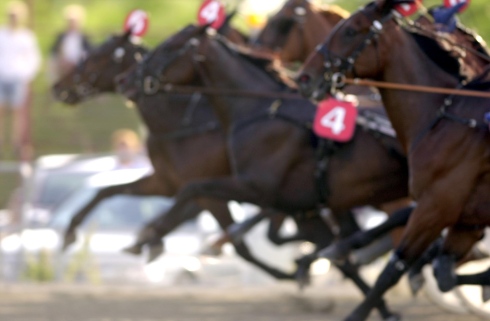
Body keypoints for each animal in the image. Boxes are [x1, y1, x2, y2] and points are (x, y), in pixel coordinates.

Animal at [296, 1, 490, 318]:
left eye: (350, 31)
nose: (303, 78)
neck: (446, 115)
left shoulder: (437, 205)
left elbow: (395, 268)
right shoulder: (465, 218)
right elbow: (444, 271)